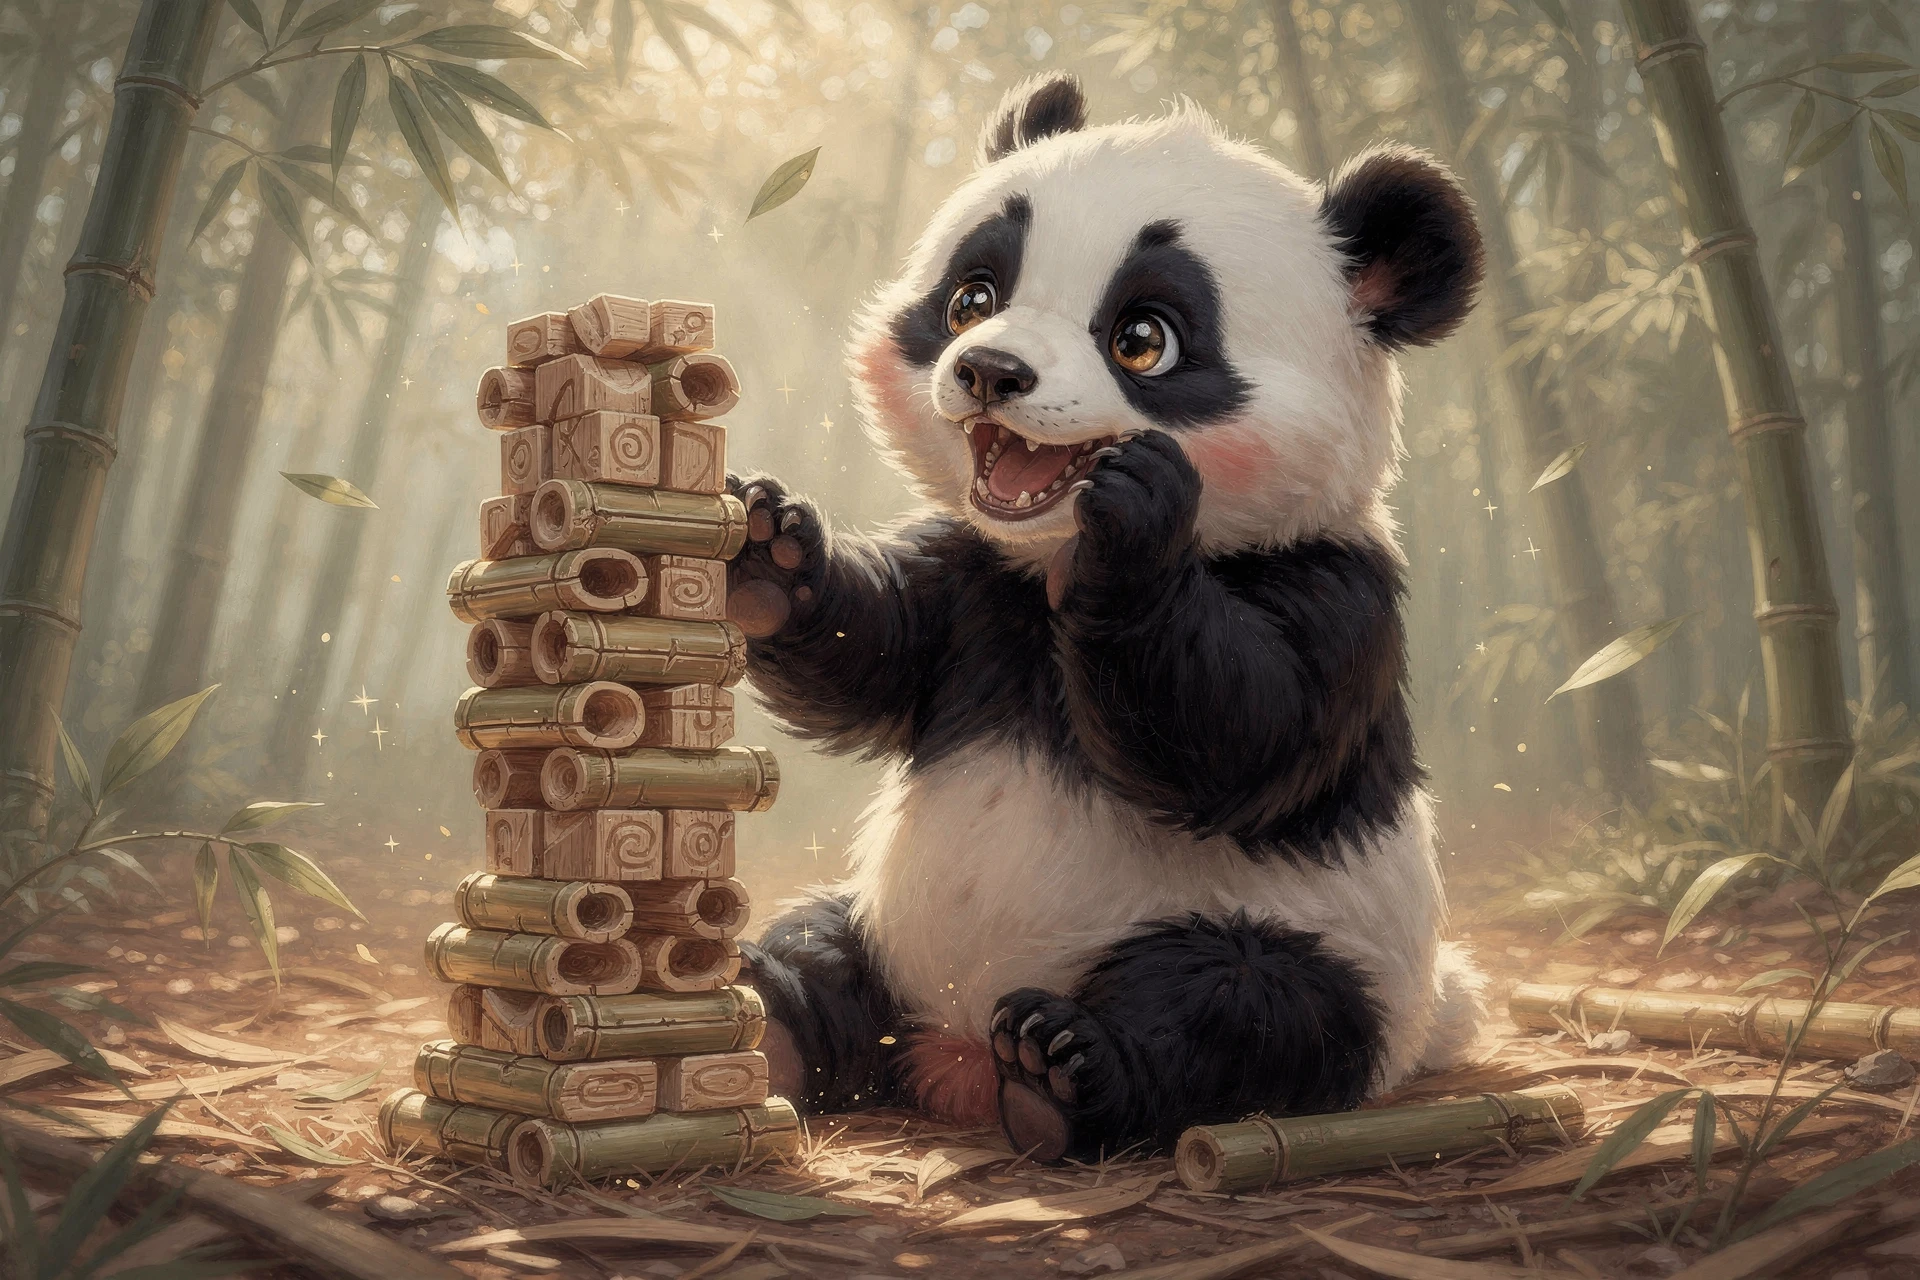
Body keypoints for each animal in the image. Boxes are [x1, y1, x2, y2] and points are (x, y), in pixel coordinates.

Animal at [726, 71, 1488, 1163]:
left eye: (1142, 338)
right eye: (973, 296)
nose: (991, 370)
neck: (1047, 564)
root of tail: (956, 1050)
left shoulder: (1338, 591)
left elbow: (1243, 738)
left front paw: (1133, 523)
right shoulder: (975, 583)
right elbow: (871, 654)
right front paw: (770, 551)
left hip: (1319, 947)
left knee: (1239, 1009)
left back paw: (1063, 1069)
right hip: (885, 918)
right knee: (826, 949)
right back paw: (769, 1010)